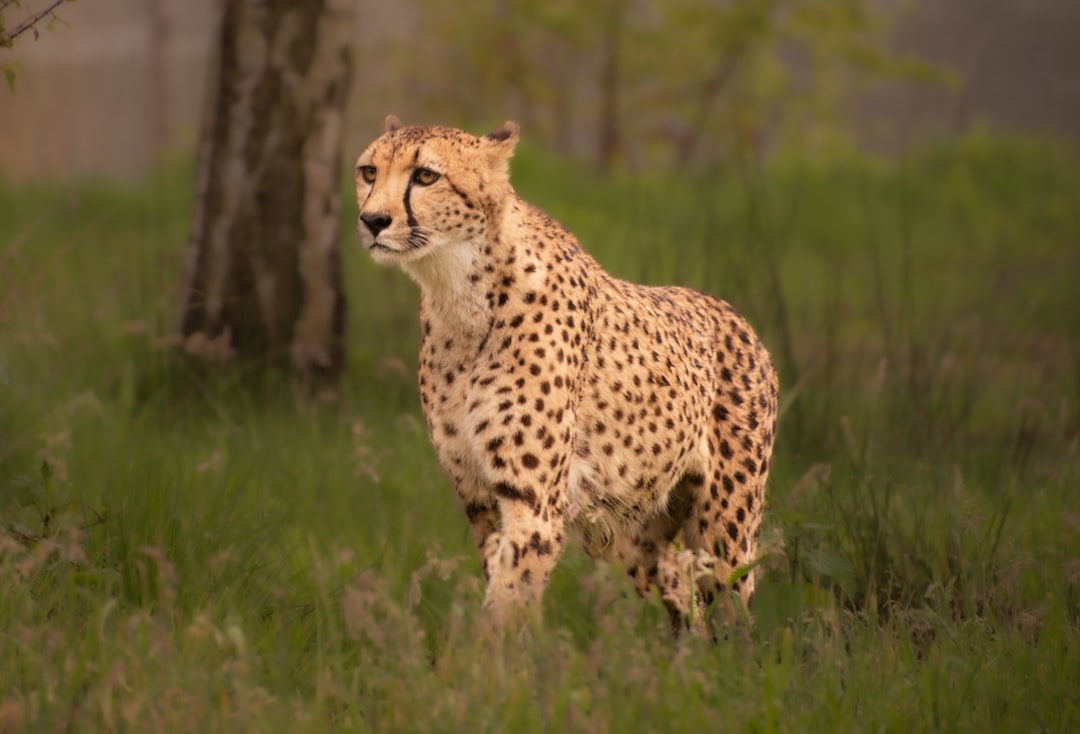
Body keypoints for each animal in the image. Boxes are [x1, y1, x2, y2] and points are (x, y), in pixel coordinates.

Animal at [354, 116, 779, 634]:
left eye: (426, 176)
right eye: (369, 172)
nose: (373, 221)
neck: (459, 289)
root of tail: (730, 311)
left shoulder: (533, 503)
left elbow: (507, 604)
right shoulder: (480, 500)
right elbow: (502, 587)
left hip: (724, 529)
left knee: (731, 617)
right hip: (632, 535)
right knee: (683, 595)